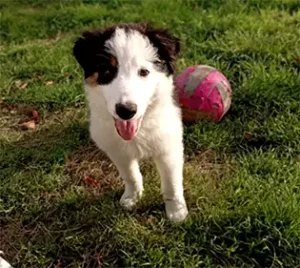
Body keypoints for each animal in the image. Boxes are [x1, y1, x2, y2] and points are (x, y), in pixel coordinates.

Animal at [73, 23, 188, 221]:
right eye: (107, 72)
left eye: (144, 72)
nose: (126, 111)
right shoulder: (117, 150)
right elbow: (130, 175)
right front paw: (132, 197)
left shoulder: (168, 145)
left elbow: (171, 182)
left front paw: (177, 212)